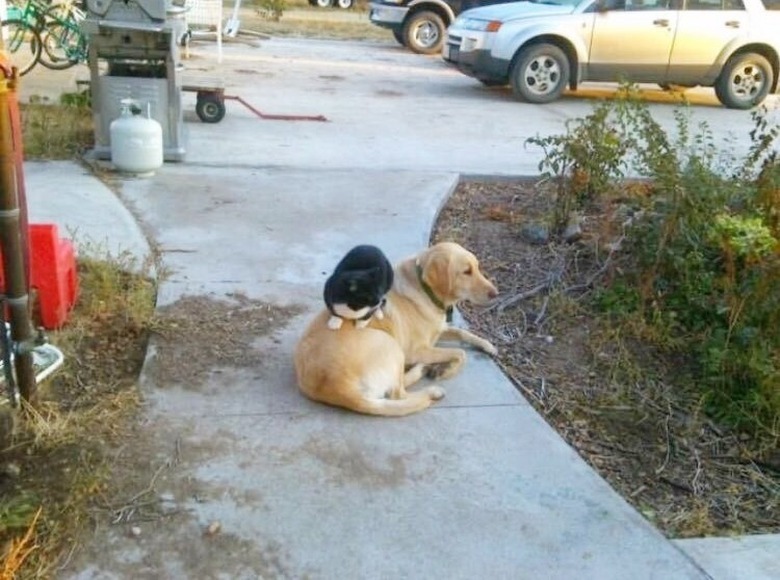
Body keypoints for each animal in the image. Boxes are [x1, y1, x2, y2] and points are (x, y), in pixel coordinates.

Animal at [292, 241, 500, 416]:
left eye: (477, 267)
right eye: (466, 271)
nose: (496, 294)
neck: (425, 290)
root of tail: (338, 388)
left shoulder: (440, 330)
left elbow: (462, 332)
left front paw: (487, 345)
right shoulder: (417, 350)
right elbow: (460, 353)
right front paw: (446, 370)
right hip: (391, 345)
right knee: (398, 393)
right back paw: (430, 386)